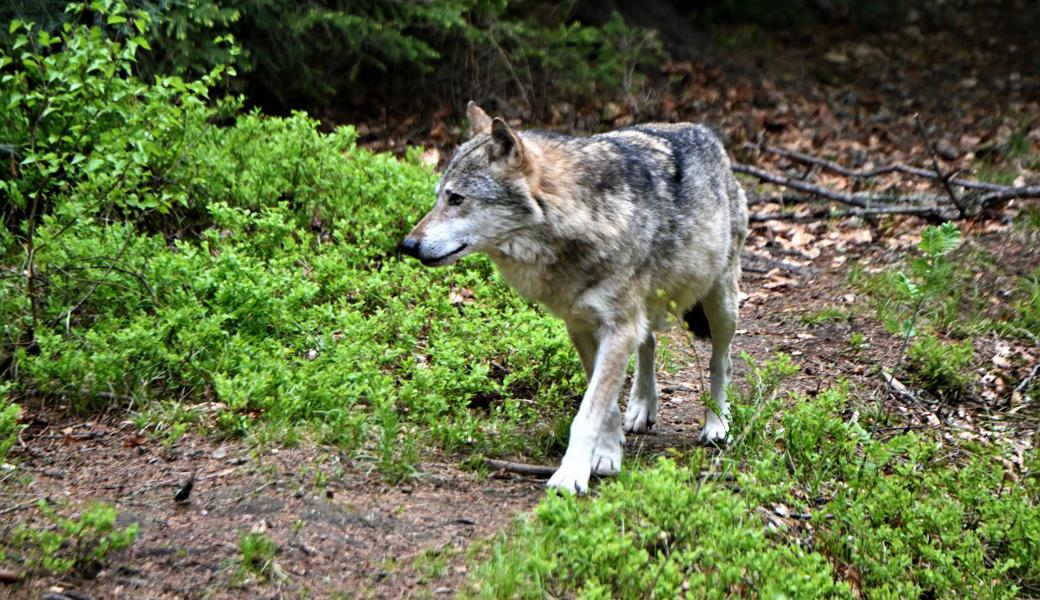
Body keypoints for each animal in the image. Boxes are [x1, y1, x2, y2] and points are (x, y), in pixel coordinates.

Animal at [397, 101, 748, 490]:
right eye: (438, 198)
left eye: (456, 199)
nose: (407, 245)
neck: (582, 219)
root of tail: (701, 130)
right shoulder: (580, 326)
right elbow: (604, 408)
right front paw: (607, 455)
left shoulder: (617, 330)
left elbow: (588, 413)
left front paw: (571, 476)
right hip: (650, 309)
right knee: (650, 343)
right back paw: (642, 407)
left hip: (720, 306)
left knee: (720, 362)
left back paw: (717, 424)